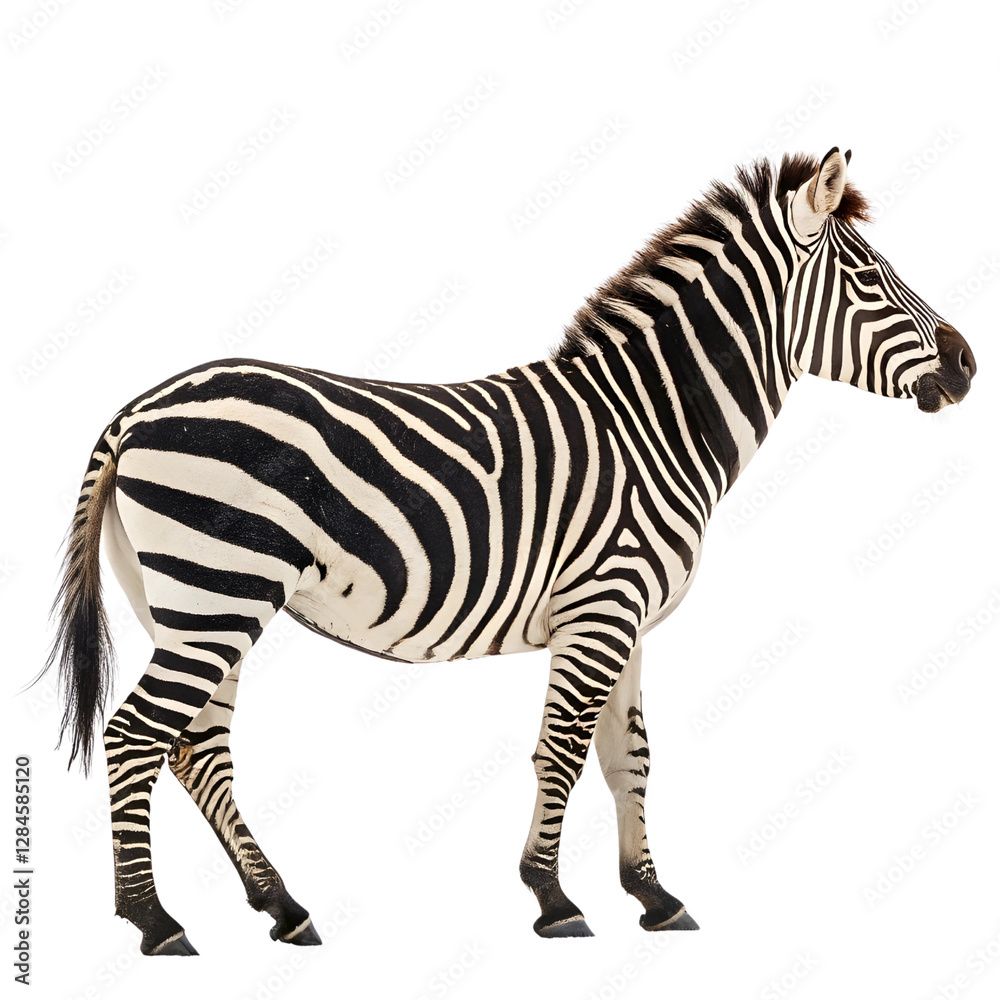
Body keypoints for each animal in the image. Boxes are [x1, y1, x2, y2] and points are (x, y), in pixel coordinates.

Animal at [40, 147, 975, 955]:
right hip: (218, 593)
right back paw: (155, 921)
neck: (654, 423)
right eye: (870, 277)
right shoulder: (601, 607)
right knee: (136, 737)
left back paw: (283, 907)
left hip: (191, 603)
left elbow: (629, 756)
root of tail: (137, 409)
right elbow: (561, 748)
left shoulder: (626, 619)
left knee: (196, 751)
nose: (967, 364)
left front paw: (653, 895)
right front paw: (553, 898)